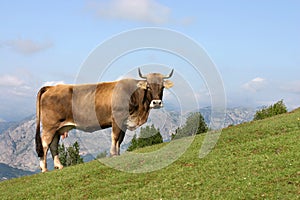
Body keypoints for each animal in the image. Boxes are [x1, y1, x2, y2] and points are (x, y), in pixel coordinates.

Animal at [35, 69, 173, 172]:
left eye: (162, 87)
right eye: (148, 87)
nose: (156, 103)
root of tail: (52, 87)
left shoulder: (123, 123)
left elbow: (120, 139)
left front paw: (117, 153)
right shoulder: (117, 118)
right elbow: (115, 137)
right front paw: (113, 154)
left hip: (58, 128)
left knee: (53, 145)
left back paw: (59, 165)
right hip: (49, 126)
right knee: (45, 144)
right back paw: (44, 168)